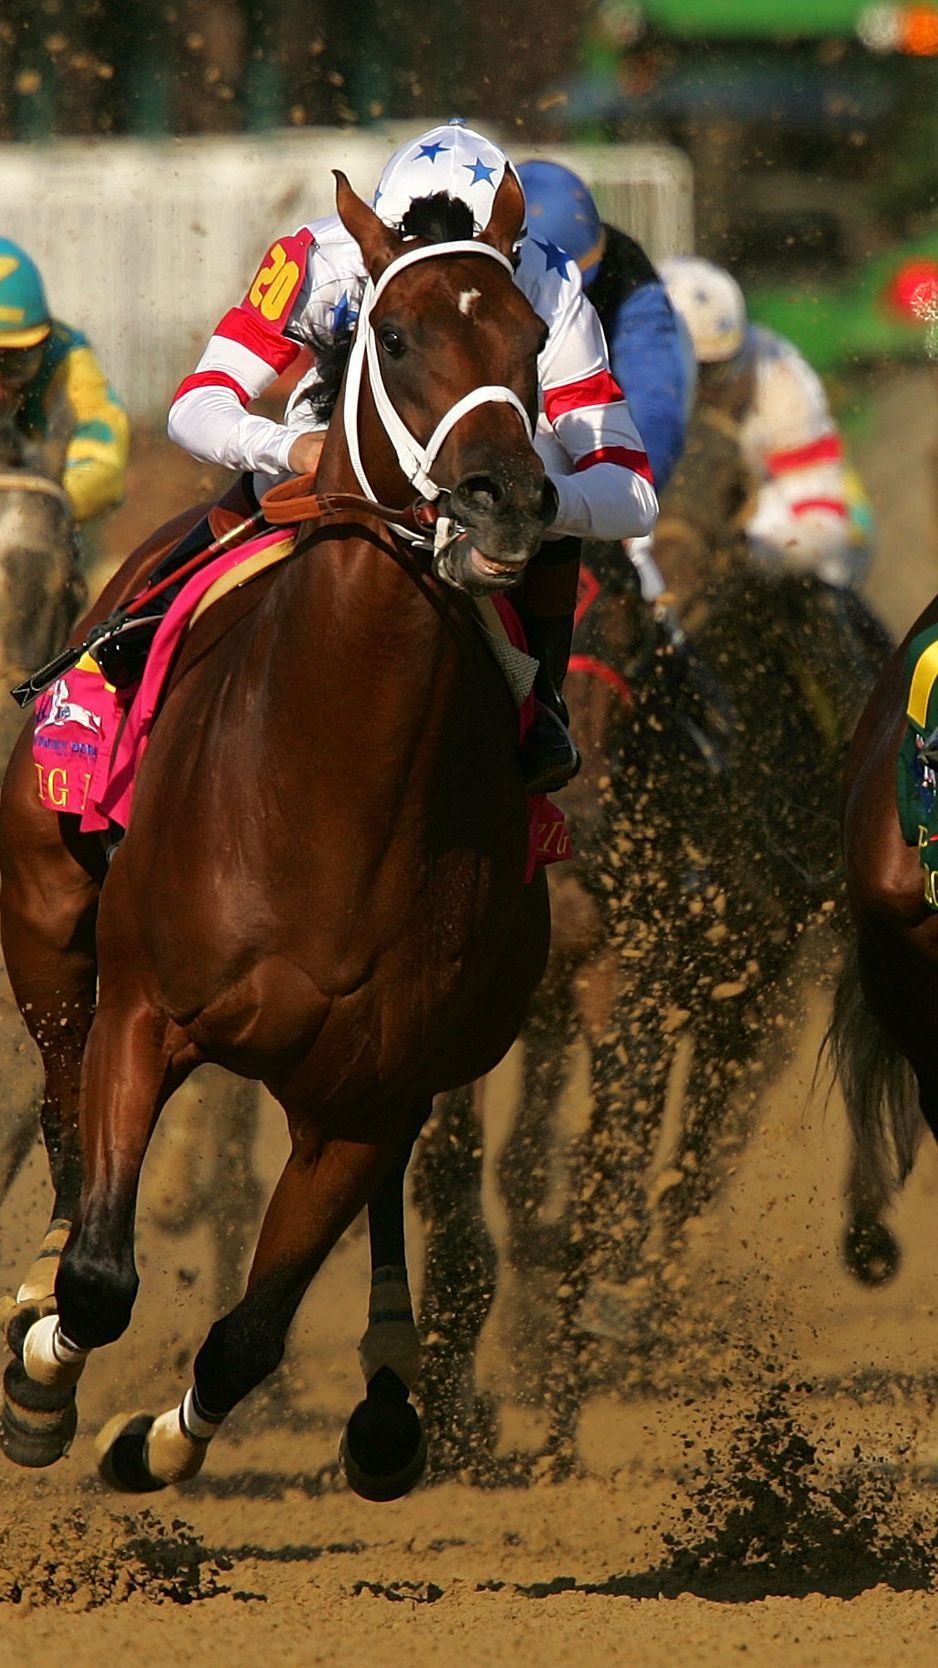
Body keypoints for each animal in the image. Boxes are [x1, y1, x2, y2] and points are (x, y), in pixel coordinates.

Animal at [0, 168, 552, 1498]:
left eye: (533, 341)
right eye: (392, 337)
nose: (505, 500)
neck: (325, 793)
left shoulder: (363, 1095)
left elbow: (249, 1333)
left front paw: (148, 1444)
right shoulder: (144, 1013)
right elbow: (102, 1278)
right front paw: (42, 1379)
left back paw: (392, 1389)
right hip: (46, 932)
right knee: (58, 1114)